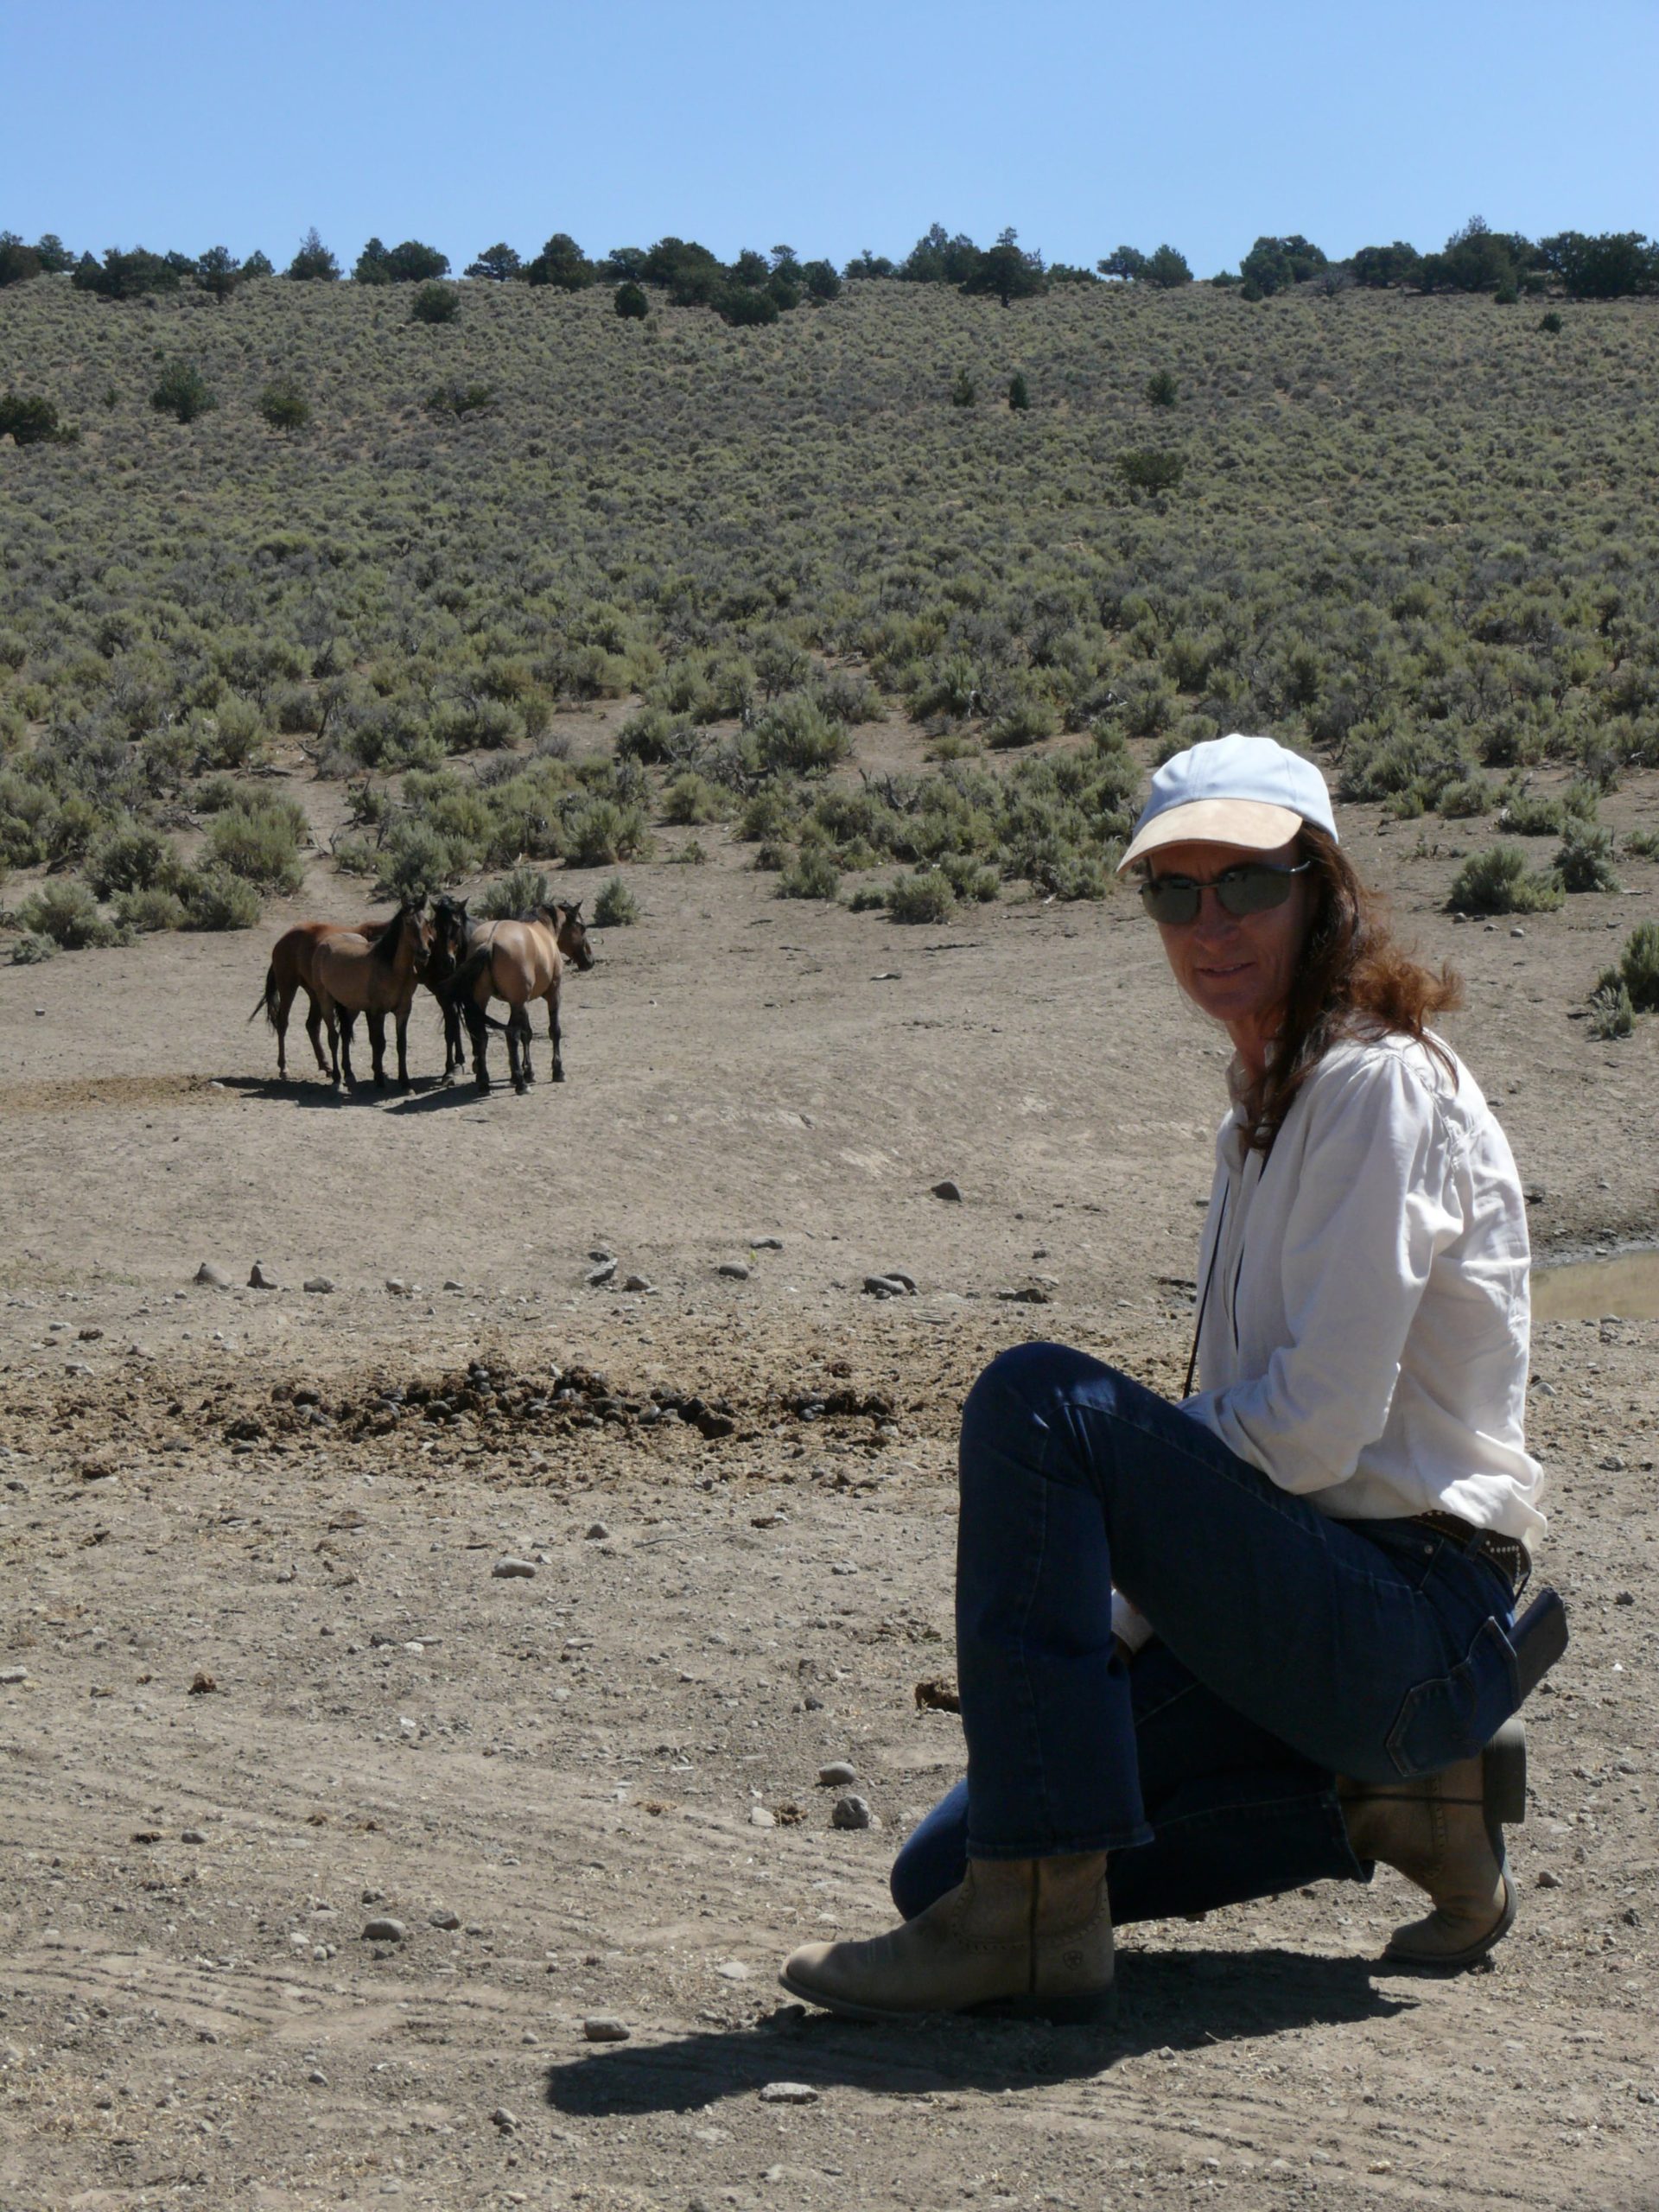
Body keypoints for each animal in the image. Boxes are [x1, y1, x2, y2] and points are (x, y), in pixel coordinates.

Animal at [250, 911, 393, 1075]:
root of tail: (283, 940)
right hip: (288, 987)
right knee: (283, 1023)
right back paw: (284, 1066)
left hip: (316, 994)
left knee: (312, 1025)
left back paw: (325, 1065)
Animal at [309, 902, 431, 1092]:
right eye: (408, 923)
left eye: (427, 921)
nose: (424, 953)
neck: (394, 970)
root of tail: (324, 944)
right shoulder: (378, 1012)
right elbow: (379, 1043)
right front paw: (380, 1080)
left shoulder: (403, 1011)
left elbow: (401, 1045)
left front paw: (405, 1083)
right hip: (326, 1001)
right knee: (333, 1038)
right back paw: (337, 1079)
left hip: (351, 1007)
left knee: (345, 1034)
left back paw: (349, 1075)